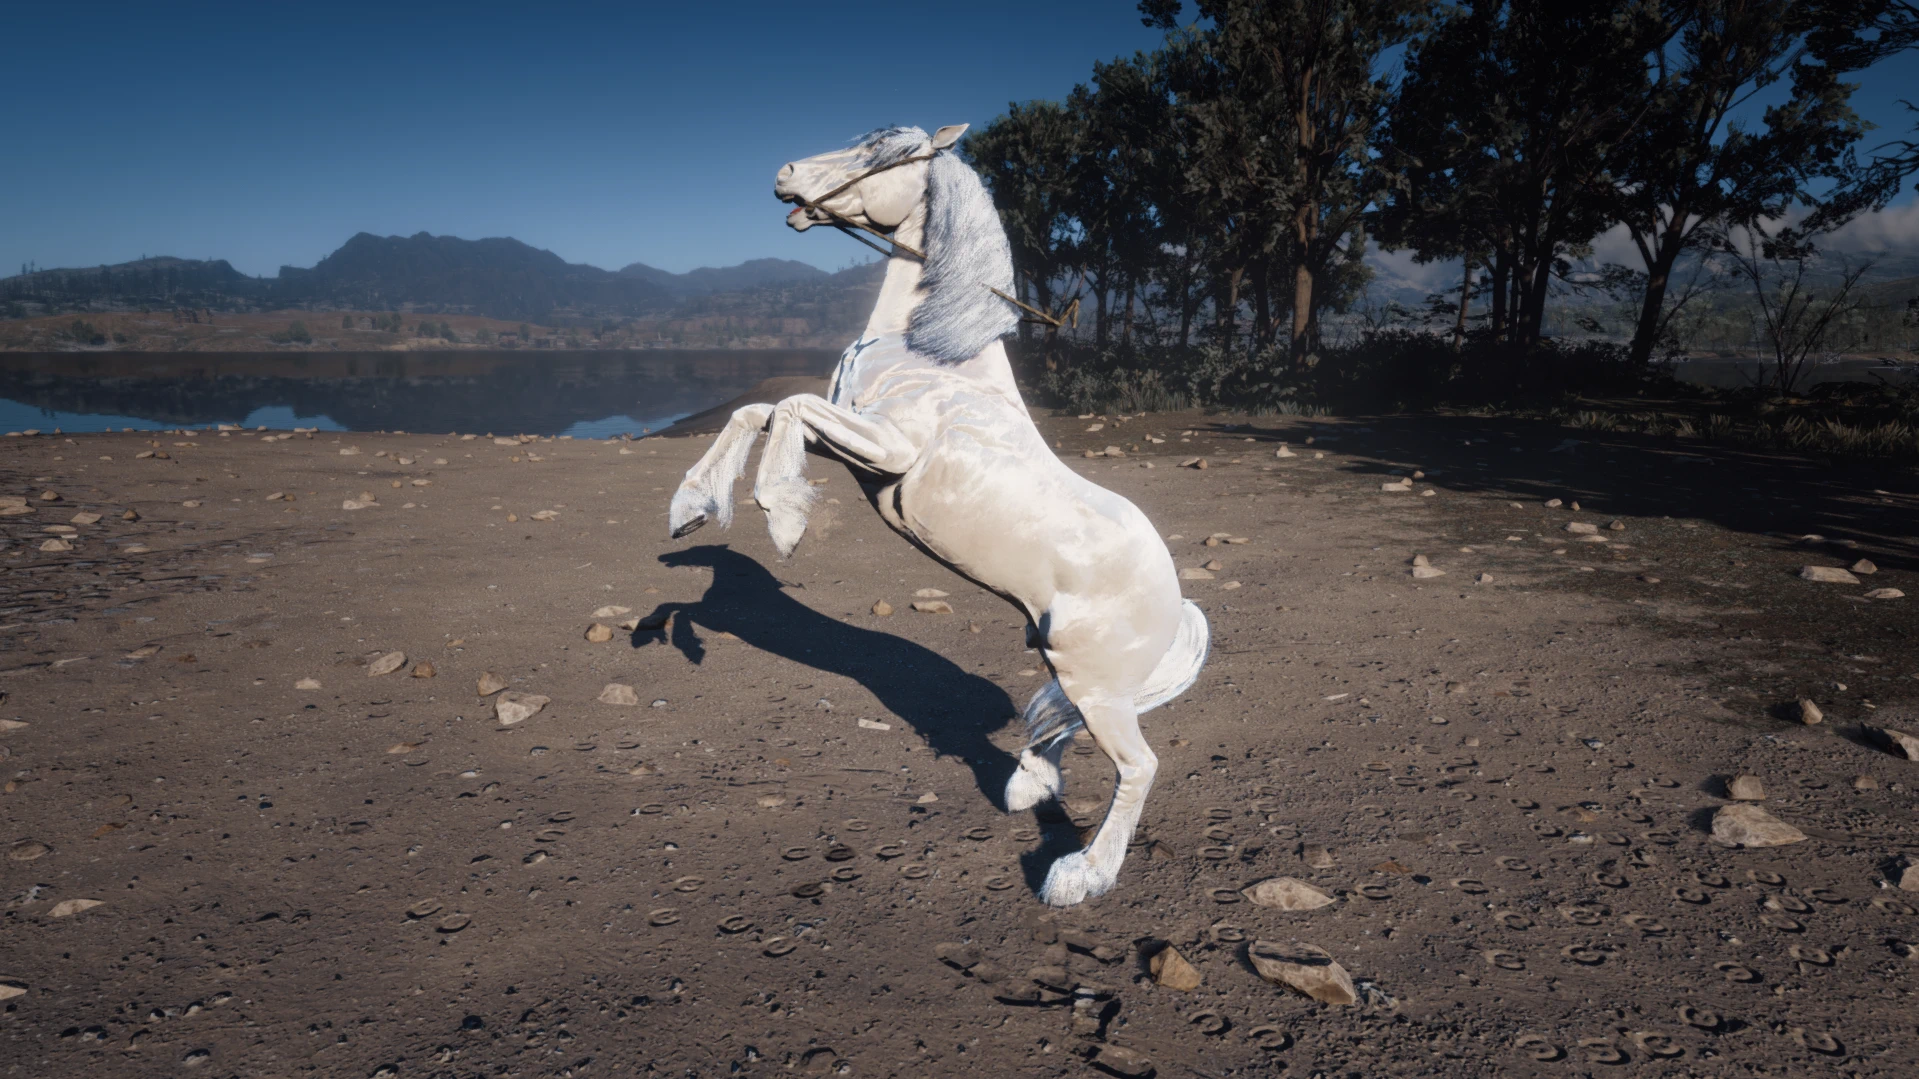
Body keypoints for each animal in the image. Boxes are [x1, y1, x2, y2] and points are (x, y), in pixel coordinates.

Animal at [667, 124, 1209, 906]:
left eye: (883, 153)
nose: (786, 173)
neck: (931, 355)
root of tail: (1175, 601)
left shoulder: (887, 451)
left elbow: (789, 407)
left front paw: (783, 521)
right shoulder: (854, 449)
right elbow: (759, 411)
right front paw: (689, 508)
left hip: (1098, 683)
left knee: (1137, 766)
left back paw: (1078, 876)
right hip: (1064, 661)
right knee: (1063, 725)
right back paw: (1028, 784)